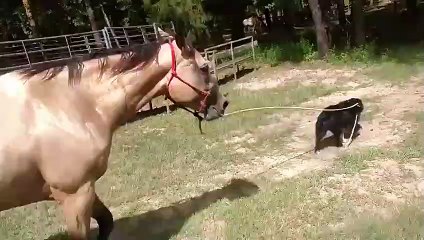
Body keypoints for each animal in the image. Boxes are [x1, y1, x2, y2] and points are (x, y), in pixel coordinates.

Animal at [0, 30, 229, 240]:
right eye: (204, 67)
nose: (223, 104)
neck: (66, 104)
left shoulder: (87, 188)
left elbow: (107, 221)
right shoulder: (74, 195)